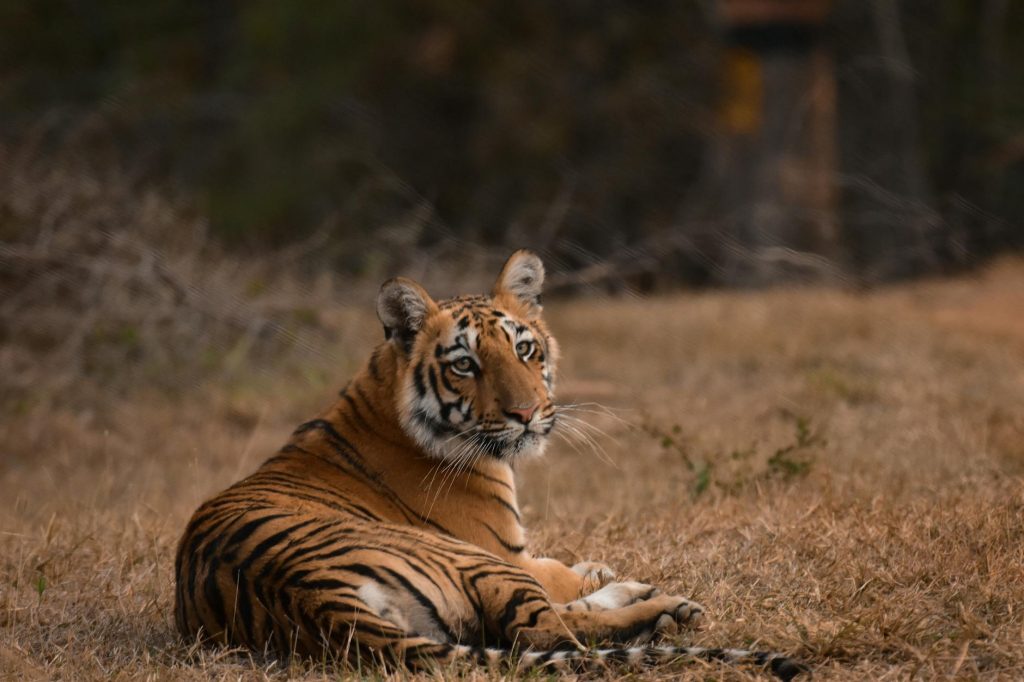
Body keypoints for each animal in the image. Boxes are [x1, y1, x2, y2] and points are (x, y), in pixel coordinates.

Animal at [174, 249, 808, 680]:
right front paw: (607, 575)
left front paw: (603, 570)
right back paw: (668, 609)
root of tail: (319, 604)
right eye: (465, 365)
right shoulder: (508, 550)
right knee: (547, 630)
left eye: (524, 349)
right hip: (470, 559)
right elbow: (556, 577)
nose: (526, 414)